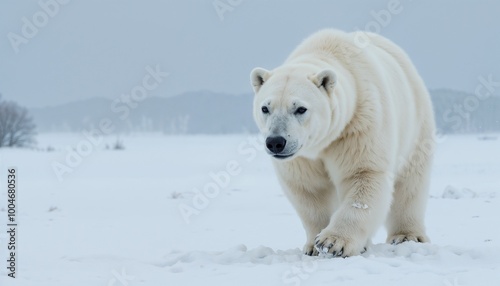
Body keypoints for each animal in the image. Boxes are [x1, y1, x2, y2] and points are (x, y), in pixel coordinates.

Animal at [250, 29, 434, 256]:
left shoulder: (358, 127)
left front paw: (333, 242)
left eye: (300, 108)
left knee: (410, 184)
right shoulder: (302, 157)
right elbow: (308, 189)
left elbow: (363, 175)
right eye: (265, 108)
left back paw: (407, 236)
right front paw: (313, 246)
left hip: (417, 124)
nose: (276, 142)